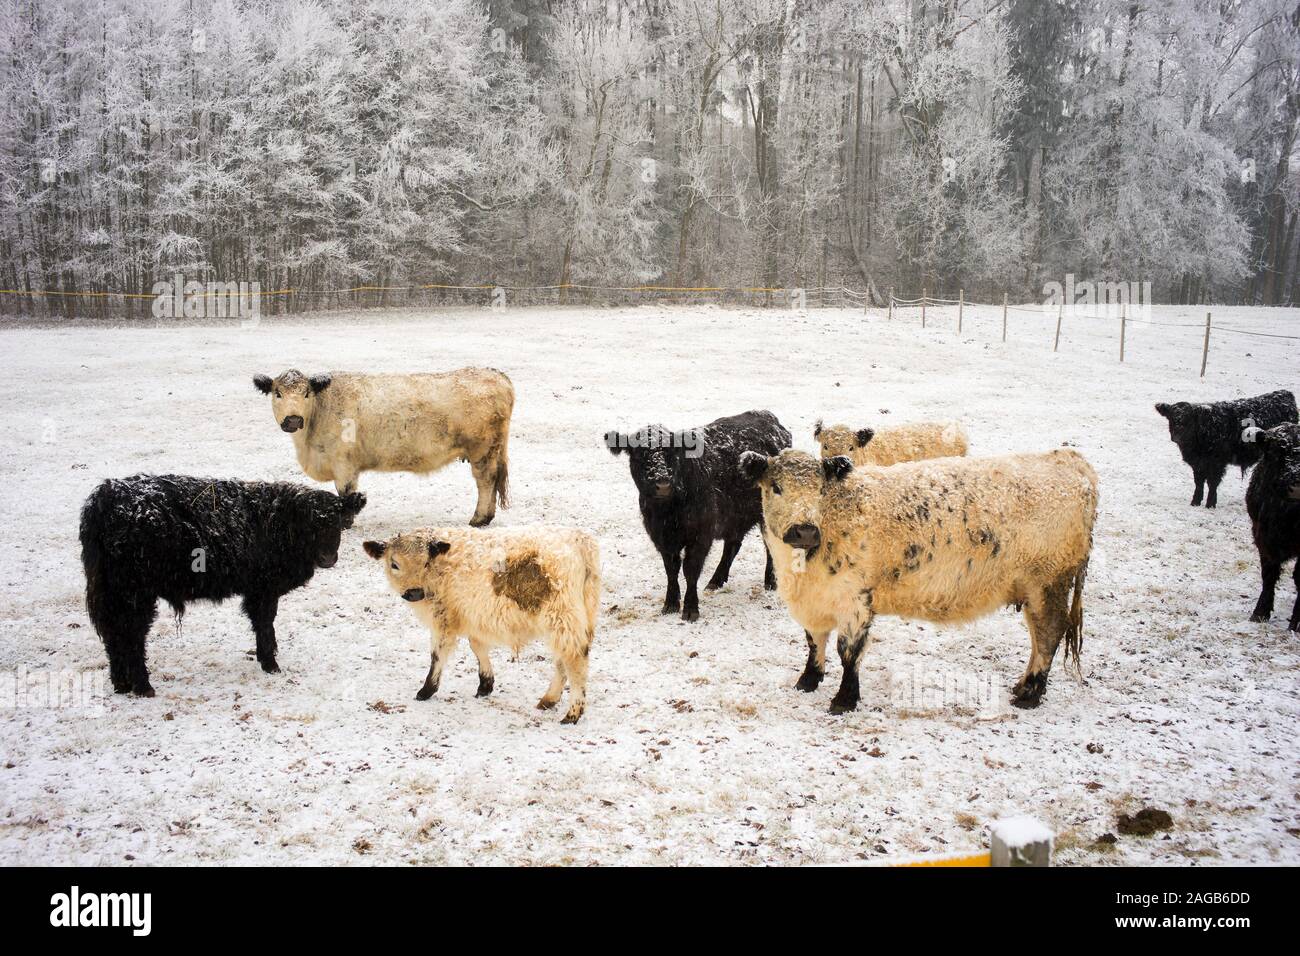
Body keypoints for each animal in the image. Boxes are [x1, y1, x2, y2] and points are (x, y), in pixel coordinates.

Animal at [79, 476, 366, 697]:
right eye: (311, 524)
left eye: (338, 522)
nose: (327, 558)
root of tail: (107, 494)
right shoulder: (264, 590)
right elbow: (264, 624)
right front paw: (270, 664)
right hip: (135, 594)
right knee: (131, 636)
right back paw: (143, 686)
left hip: (113, 592)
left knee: (114, 635)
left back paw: (121, 684)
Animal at [254, 369, 512, 530]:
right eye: (278, 393)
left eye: (306, 393)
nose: (293, 420)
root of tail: (495, 374)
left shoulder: (343, 463)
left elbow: (345, 493)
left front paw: (345, 523)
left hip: (482, 451)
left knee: (486, 480)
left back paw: (479, 518)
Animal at [605, 408, 790, 621]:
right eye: (640, 454)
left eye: (672, 452)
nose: (663, 484)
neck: (667, 511)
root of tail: (768, 417)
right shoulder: (662, 537)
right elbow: (671, 569)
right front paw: (670, 603)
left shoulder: (700, 535)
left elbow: (690, 569)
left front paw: (690, 608)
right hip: (734, 515)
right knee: (733, 544)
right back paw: (716, 580)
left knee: (770, 546)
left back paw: (771, 581)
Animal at [1154, 390, 1294, 509]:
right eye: (1171, 417)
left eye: (1189, 419)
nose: (1177, 435)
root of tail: (1284, 393)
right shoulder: (1198, 463)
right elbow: (1199, 482)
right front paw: (1195, 502)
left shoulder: (1217, 463)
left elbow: (1212, 483)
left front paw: (1210, 504)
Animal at [1242, 424, 1300, 632]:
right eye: (1277, 451)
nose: (1297, 488)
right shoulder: (1263, 538)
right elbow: (1268, 575)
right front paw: (1260, 613)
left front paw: (1295, 623)